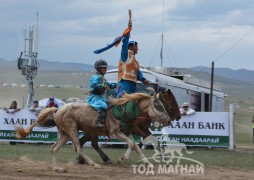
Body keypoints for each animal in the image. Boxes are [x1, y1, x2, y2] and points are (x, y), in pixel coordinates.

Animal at [15, 92, 171, 172]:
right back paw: (94, 164)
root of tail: (58, 109)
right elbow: (131, 144)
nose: (169, 120)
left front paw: (148, 164)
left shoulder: (127, 132)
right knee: (78, 148)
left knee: (54, 148)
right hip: (72, 130)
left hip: (65, 134)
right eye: (158, 106)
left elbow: (136, 146)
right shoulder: (116, 132)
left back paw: (58, 168)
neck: (123, 111)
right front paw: (122, 159)